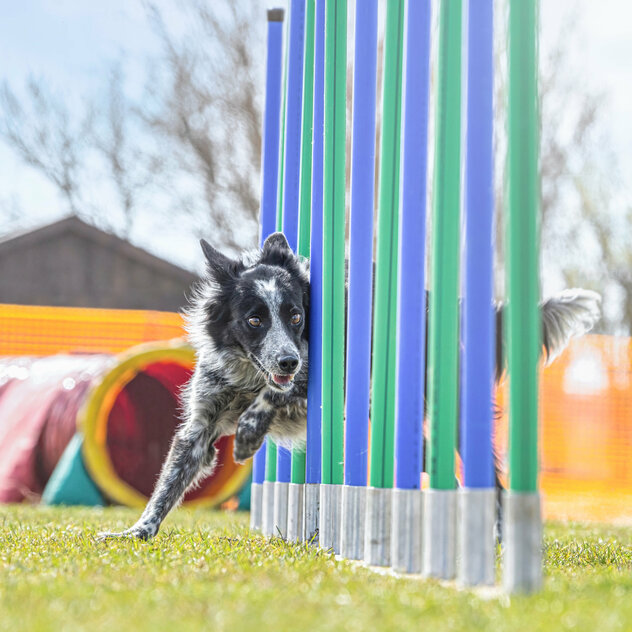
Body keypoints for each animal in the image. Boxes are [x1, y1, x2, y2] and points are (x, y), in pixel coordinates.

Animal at [101, 235, 600, 540]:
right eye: (254, 319)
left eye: (296, 315)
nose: (287, 359)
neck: (249, 375)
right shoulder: (200, 426)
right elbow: (168, 483)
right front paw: (137, 532)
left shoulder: (314, 376)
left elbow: (277, 394)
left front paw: (248, 434)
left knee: (488, 479)